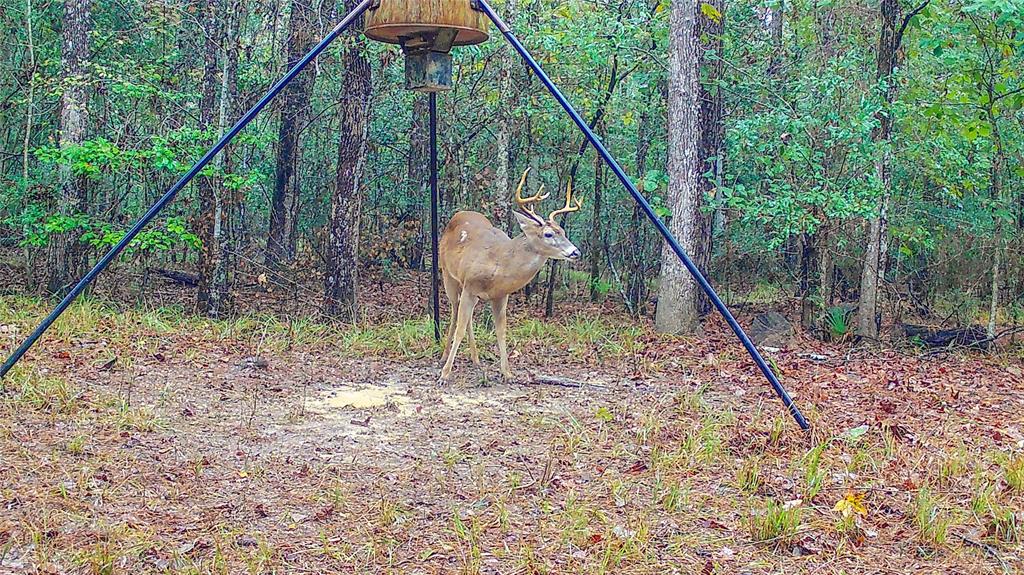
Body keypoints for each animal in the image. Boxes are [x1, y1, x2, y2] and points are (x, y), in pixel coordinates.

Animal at [438, 168, 585, 384]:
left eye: (563, 231)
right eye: (548, 234)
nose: (576, 252)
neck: (499, 265)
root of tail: (459, 214)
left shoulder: (500, 295)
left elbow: (501, 331)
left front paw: (507, 372)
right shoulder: (470, 285)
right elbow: (459, 329)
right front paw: (445, 375)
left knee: (468, 318)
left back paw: (475, 359)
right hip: (448, 275)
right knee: (455, 312)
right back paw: (444, 356)